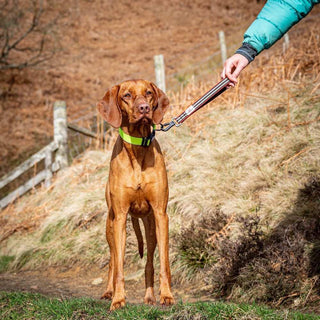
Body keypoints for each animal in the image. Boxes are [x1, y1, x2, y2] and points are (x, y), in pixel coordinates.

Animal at [97, 79, 175, 310]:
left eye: (148, 93)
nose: (144, 109)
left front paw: (167, 295)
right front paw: (118, 299)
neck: (138, 147)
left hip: (151, 228)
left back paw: (149, 297)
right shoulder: (120, 217)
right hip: (110, 225)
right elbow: (119, 267)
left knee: (149, 262)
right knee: (113, 260)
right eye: (127, 95)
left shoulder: (161, 215)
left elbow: (163, 264)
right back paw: (109, 291)